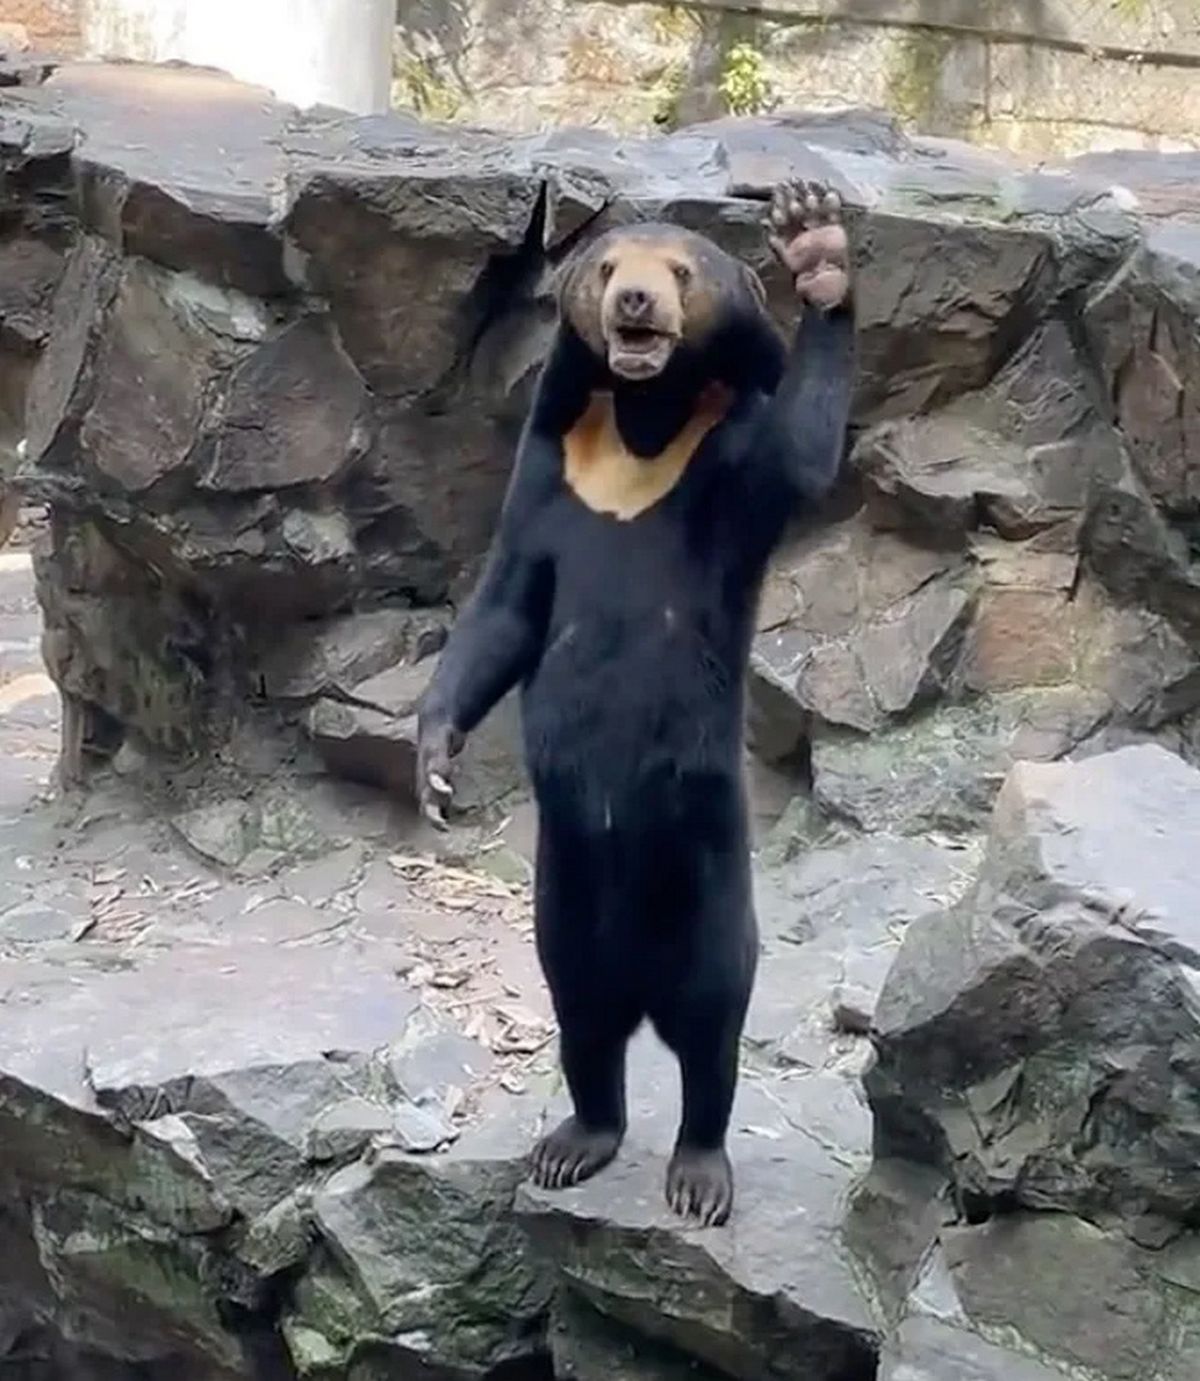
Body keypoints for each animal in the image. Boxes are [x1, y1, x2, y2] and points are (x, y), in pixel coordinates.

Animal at [417, 178, 856, 1226]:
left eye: (683, 271)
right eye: (610, 267)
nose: (636, 306)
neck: (644, 428)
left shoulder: (733, 460)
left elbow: (803, 456)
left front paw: (816, 244)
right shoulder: (550, 472)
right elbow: (506, 606)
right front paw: (435, 767)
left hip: (705, 867)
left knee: (711, 1015)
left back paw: (699, 1171)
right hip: (564, 894)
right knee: (582, 1012)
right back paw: (575, 1141)